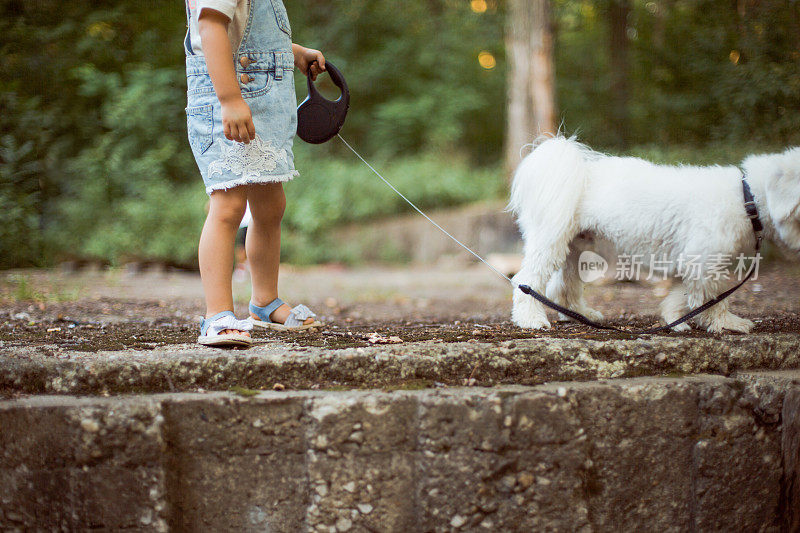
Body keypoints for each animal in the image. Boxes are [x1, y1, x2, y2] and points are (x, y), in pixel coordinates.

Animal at [510, 135, 796, 330]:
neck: (746, 197)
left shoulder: (693, 263)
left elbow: (683, 296)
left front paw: (675, 319)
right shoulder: (704, 261)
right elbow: (712, 299)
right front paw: (727, 323)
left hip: (577, 249)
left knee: (563, 287)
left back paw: (581, 315)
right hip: (551, 241)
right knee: (527, 281)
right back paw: (531, 319)